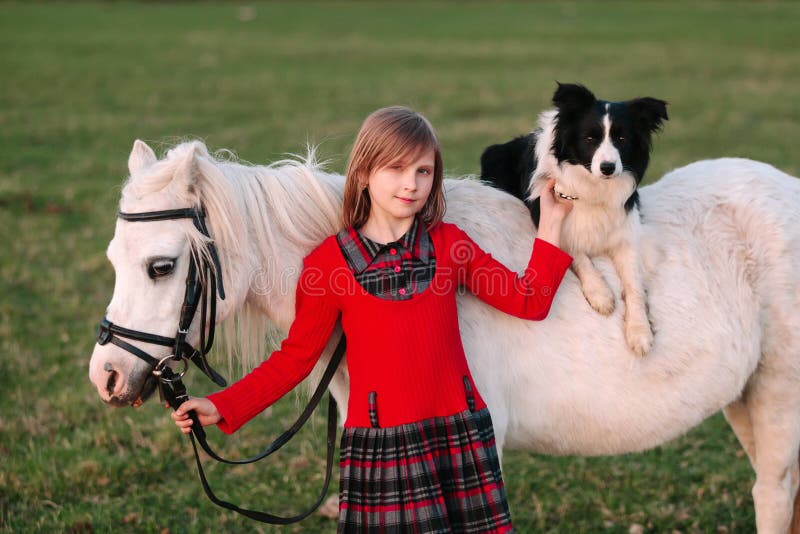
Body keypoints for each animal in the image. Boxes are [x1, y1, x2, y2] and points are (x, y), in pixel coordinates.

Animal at [482, 84, 668, 356]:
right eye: (590, 139)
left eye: (622, 139)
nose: (608, 167)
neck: (594, 187)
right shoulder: (551, 217)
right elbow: (577, 254)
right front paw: (601, 294)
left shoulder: (625, 233)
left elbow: (634, 283)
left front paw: (640, 332)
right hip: (493, 155)